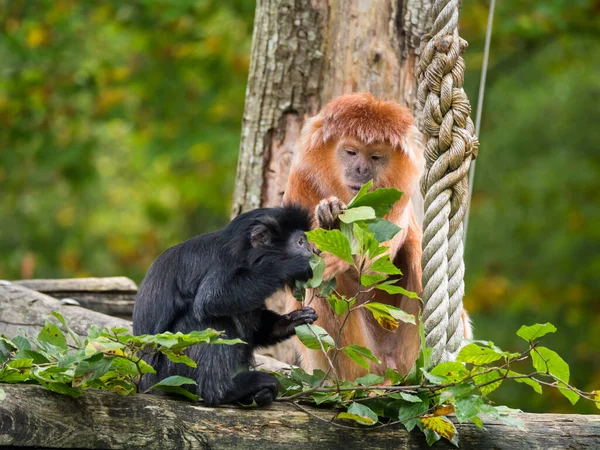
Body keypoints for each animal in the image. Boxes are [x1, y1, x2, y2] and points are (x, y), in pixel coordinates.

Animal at [132, 206, 318, 406]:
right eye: (300, 242)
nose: (312, 249)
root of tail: (146, 383)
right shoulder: (226, 261)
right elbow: (213, 298)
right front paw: (288, 266)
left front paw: (292, 320)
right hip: (169, 370)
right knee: (207, 319)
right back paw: (226, 391)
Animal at [284, 92, 472, 380]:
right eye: (351, 152)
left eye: (375, 157)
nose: (361, 170)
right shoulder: (300, 179)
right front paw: (329, 220)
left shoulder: (399, 192)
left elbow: (373, 267)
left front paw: (337, 235)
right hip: (356, 357)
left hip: (405, 355)